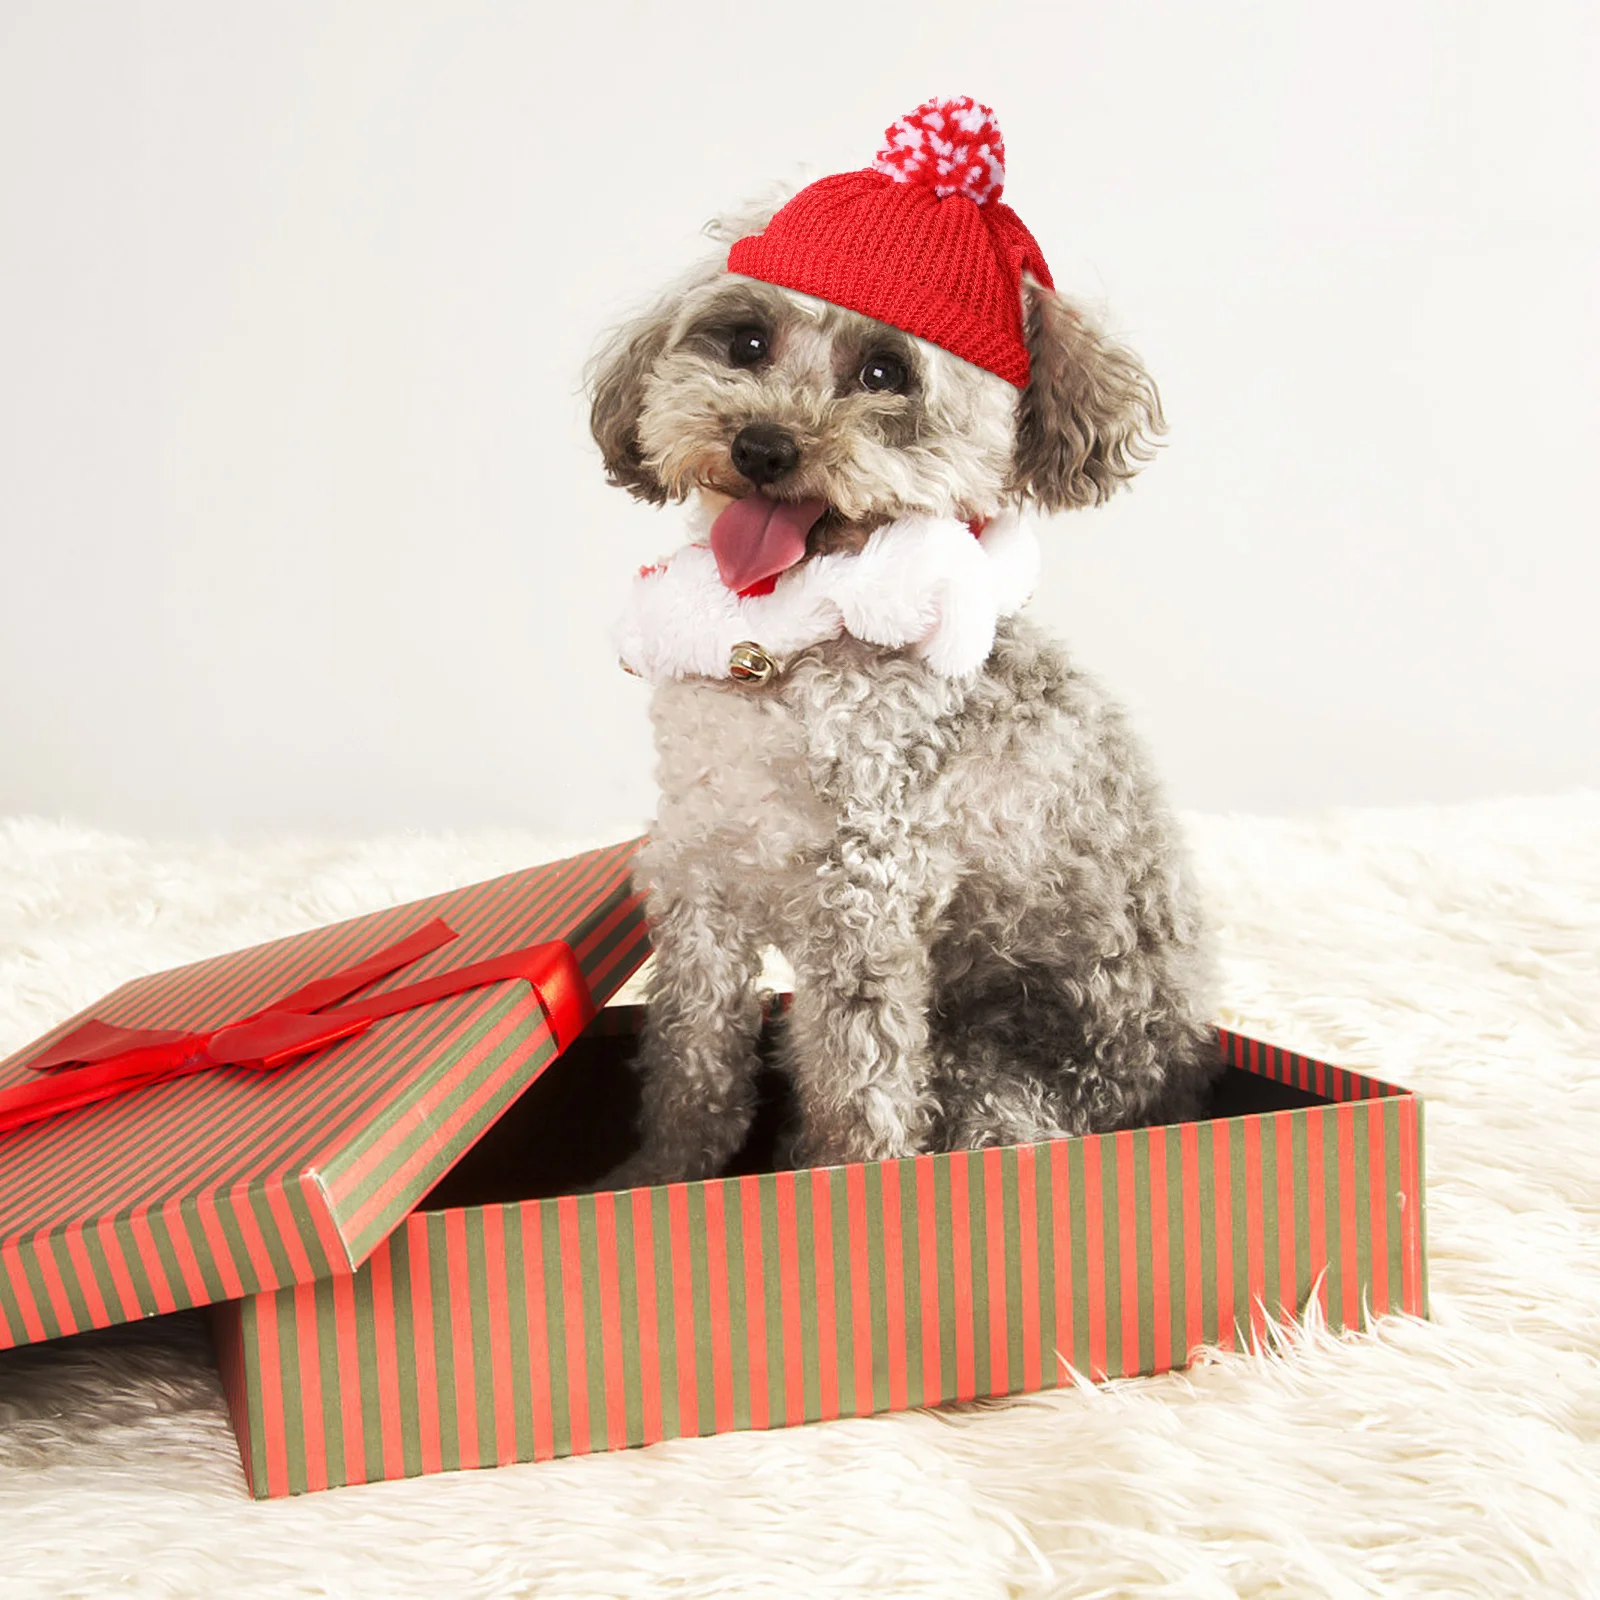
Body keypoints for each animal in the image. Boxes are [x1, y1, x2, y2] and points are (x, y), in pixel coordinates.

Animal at [588, 96, 1209, 1177]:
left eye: (885, 371)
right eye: (745, 340)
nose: (762, 445)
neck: (779, 647)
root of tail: (1171, 1078)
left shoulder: (867, 898)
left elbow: (860, 1085)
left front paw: (839, 1187)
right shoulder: (701, 873)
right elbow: (691, 1061)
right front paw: (663, 1178)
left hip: (995, 1077)